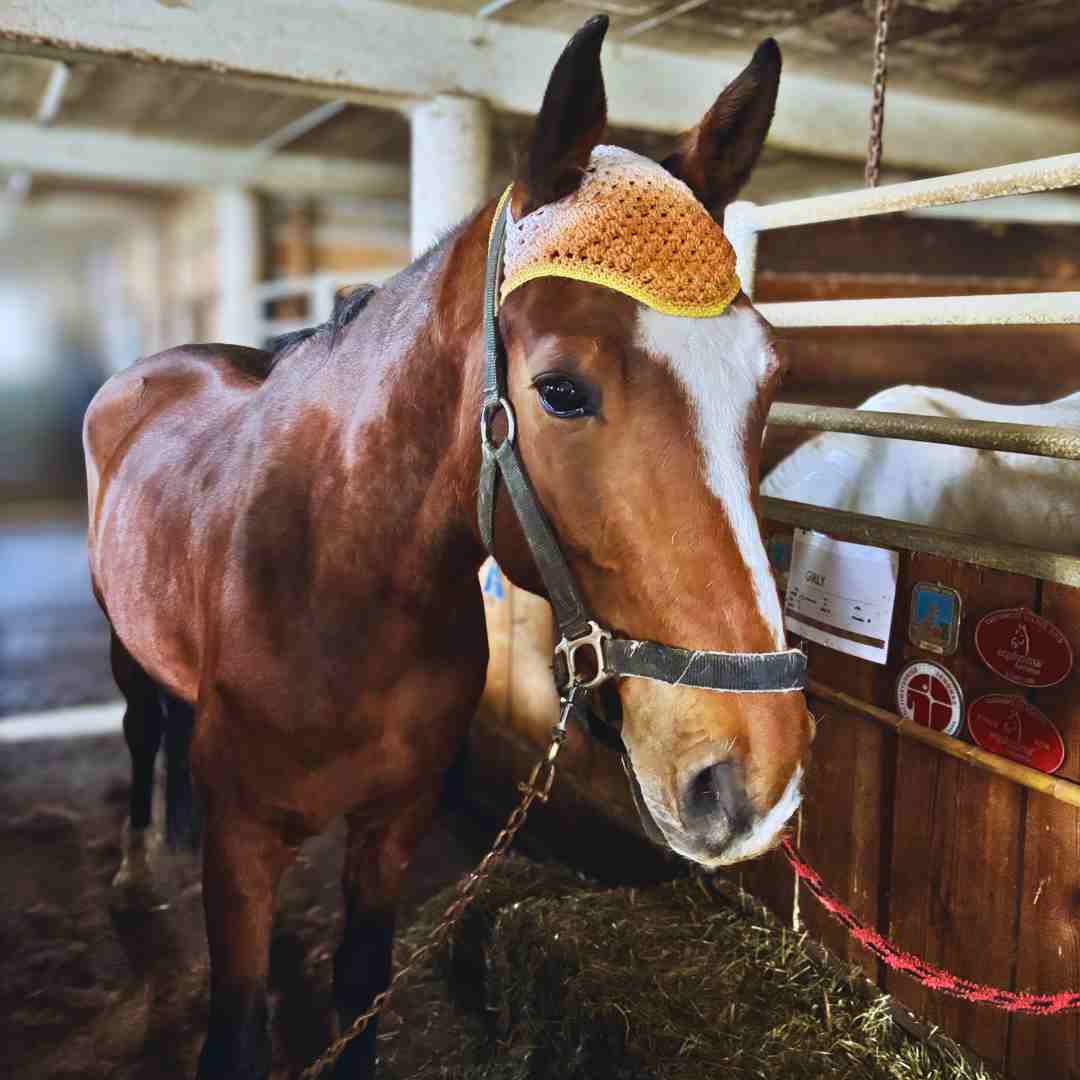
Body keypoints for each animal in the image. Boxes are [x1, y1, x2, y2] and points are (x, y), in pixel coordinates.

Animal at [83, 16, 813, 1078]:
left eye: (768, 381)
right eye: (561, 391)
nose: (755, 778)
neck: (333, 586)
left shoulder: (392, 827)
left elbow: (358, 996)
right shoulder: (244, 848)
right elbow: (236, 1030)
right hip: (119, 640)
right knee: (143, 729)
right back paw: (141, 861)